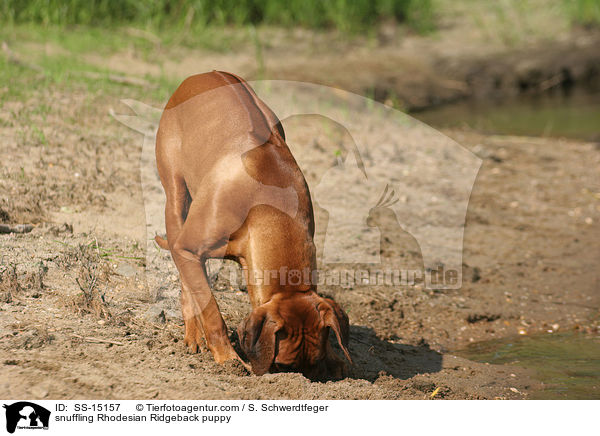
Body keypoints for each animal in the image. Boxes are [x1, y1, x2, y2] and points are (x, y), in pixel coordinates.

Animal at [154, 71, 352, 378]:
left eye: (312, 364)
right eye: (282, 365)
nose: (298, 380)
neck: (271, 210)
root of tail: (202, 74)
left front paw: (334, 357)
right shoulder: (188, 247)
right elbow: (210, 309)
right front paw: (227, 358)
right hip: (176, 194)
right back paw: (194, 334)